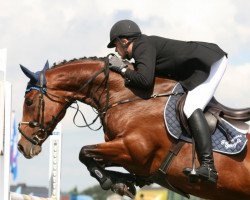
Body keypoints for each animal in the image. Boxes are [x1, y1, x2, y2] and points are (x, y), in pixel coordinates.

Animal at [18, 57, 250, 199]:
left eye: (29, 102)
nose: (21, 146)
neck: (128, 97)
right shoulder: (127, 154)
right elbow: (92, 158)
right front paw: (122, 182)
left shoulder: (133, 149)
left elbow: (83, 152)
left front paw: (113, 182)